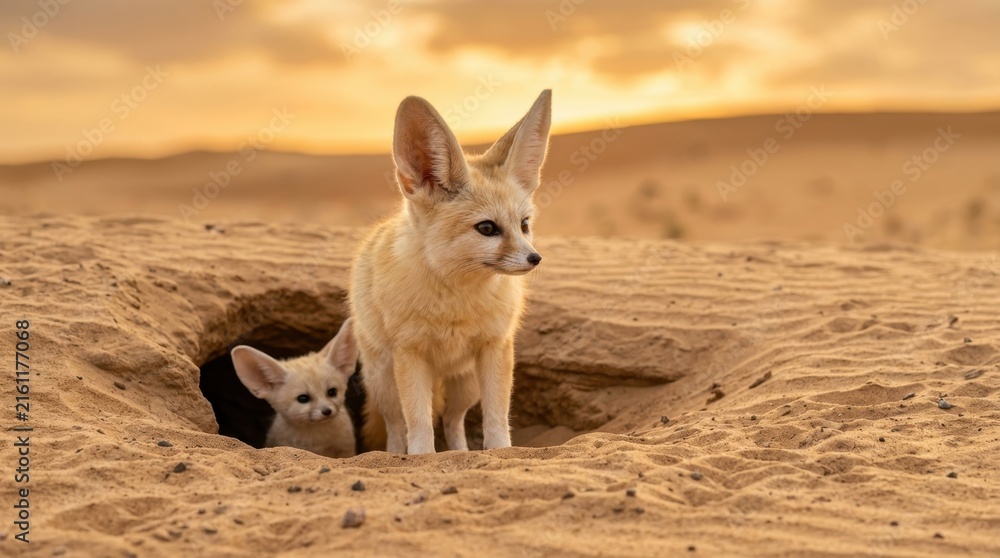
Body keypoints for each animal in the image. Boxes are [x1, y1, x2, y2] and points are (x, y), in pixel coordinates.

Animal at [350, 90, 552, 455]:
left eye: (524, 225)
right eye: (487, 228)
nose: (535, 259)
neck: (457, 301)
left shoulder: (495, 347)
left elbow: (497, 417)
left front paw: (500, 452)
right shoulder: (410, 353)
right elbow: (417, 423)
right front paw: (420, 457)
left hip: (465, 384)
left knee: (452, 420)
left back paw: (459, 453)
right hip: (385, 383)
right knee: (396, 425)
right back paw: (394, 455)